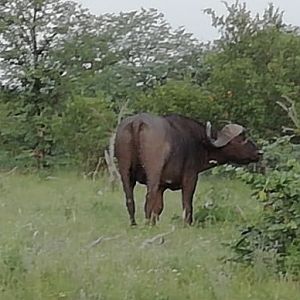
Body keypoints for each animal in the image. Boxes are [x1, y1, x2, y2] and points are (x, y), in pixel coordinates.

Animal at [115, 112, 262, 225]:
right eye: (241, 138)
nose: (258, 152)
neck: (201, 142)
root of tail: (137, 122)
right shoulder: (190, 178)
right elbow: (187, 203)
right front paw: (187, 223)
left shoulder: (162, 186)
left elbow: (159, 207)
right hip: (153, 172)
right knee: (148, 198)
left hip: (125, 172)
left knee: (130, 200)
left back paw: (134, 224)